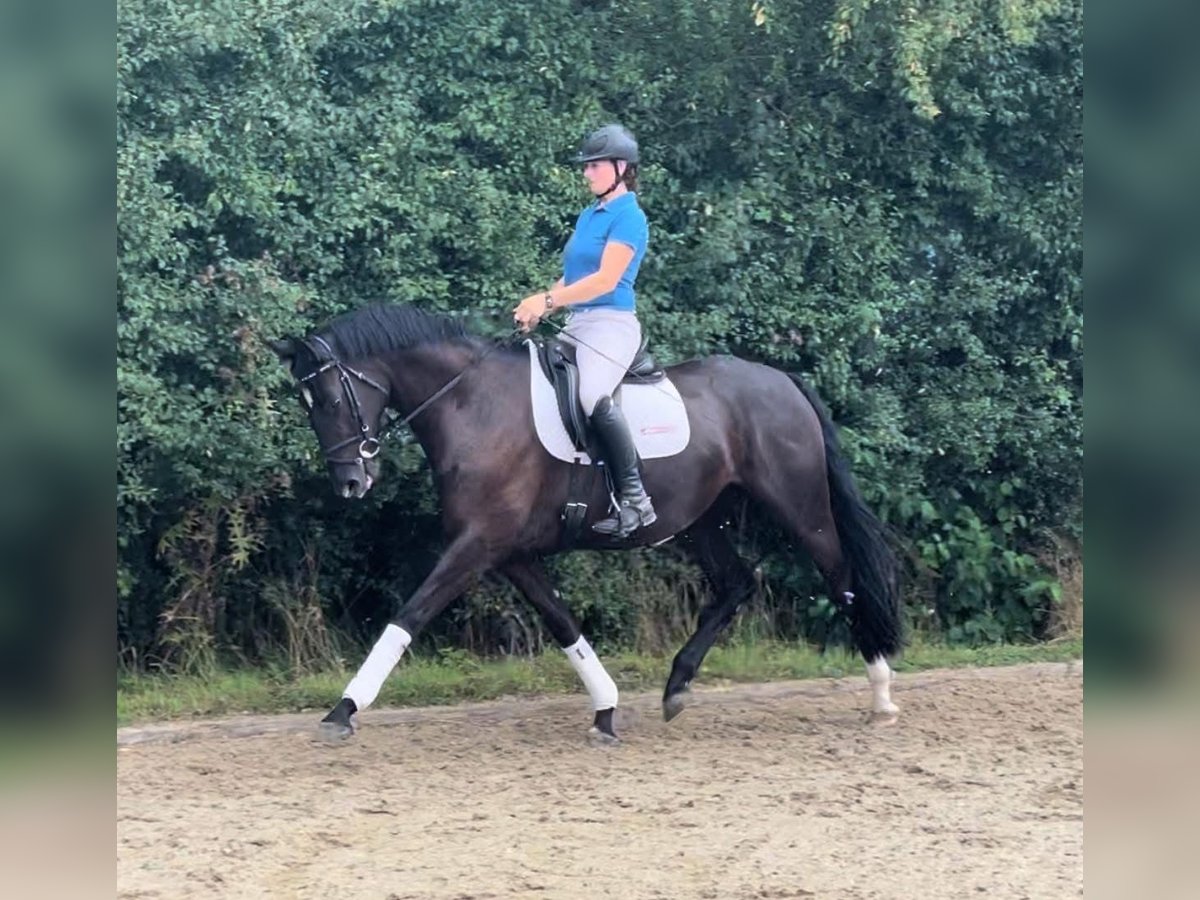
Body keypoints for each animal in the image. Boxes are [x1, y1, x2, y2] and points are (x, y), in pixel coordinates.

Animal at [274, 307, 902, 744]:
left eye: (329, 398)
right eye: (308, 402)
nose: (350, 483)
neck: (472, 404)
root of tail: (781, 380)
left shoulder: (476, 545)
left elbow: (409, 615)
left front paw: (342, 711)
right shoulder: (510, 552)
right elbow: (562, 622)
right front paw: (605, 711)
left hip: (799, 506)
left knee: (841, 578)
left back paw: (881, 695)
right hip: (702, 520)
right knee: (737, 584)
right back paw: (677, 688)